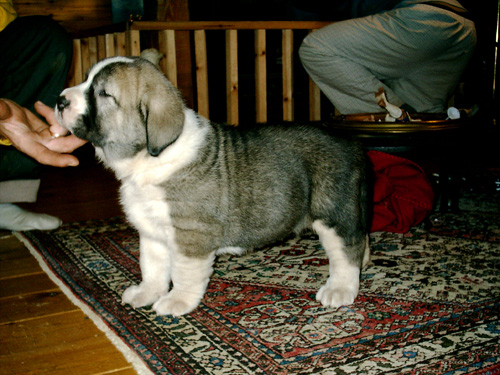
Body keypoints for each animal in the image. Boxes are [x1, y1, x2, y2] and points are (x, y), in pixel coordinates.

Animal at [55, 50, 372, 318]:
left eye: (103, 93)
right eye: (85, 79)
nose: (60, 100)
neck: (148, 161)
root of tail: (353, 144)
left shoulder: (191, 235)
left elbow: (183, 272)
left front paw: (176, 301)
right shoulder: (153, 234)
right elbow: (153, 268)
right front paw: (146, 293)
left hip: (332, 212)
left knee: (346, 249)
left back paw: (340, 289)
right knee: (361, 236)